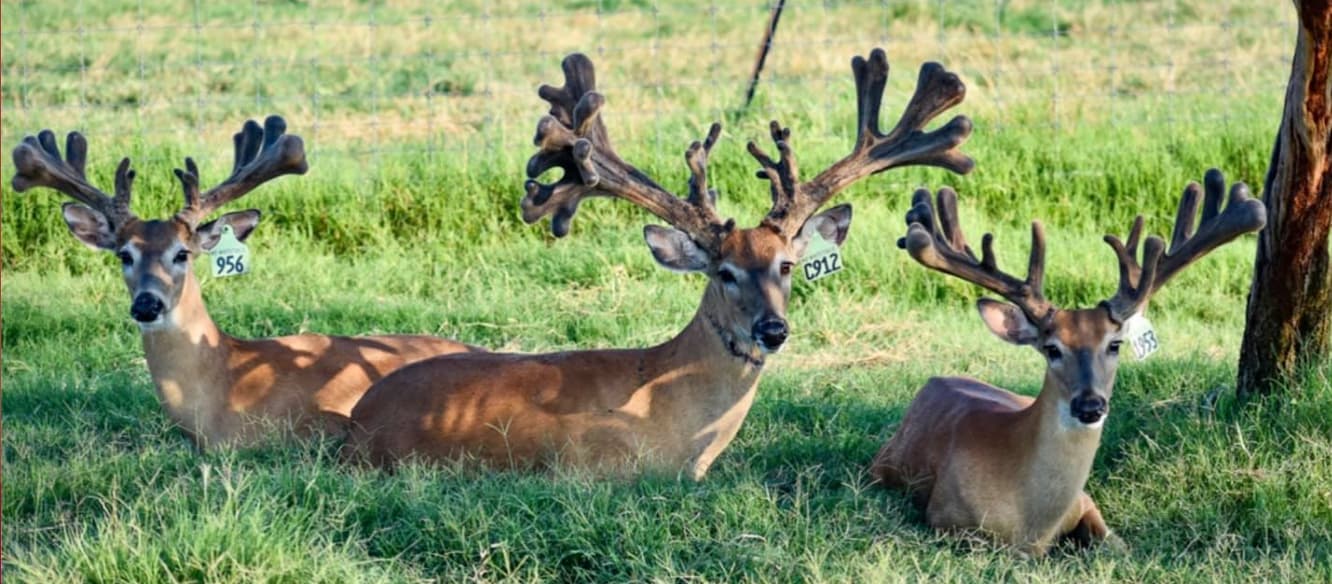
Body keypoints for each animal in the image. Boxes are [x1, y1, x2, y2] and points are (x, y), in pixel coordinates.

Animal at [869, 169, 1267, 555]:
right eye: (1052, 349)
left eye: (1114, 344)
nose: (1090, 405)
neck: (1033, 525)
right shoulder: (944, 518)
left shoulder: (1087, 503)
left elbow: (1118, 546)